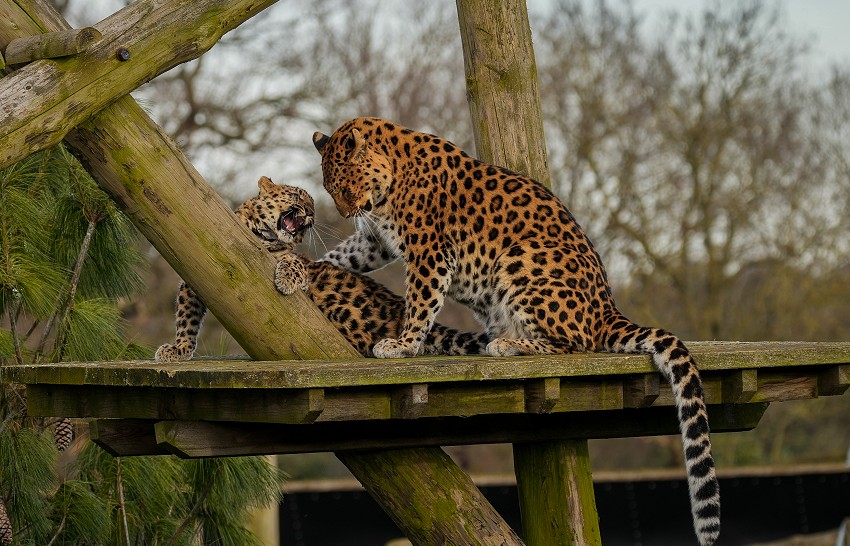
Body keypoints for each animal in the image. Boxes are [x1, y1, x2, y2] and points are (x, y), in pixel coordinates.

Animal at [155, 176, 490, 361]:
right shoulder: (191, 283)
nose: (310, 214)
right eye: (296, 196)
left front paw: (287, 279)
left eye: (313, 209)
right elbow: (186, 319)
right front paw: (177, 350)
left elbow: (294, 261)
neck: (259, 236)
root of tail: (398, 308)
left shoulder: (299, 260)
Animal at [312, 117, 720, 546]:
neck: (391, 179)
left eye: (345, 186)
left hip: (521, 258)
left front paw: (403, 345)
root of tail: (607, 309)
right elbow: (343, 255)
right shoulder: (373, 241)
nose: (345, 212)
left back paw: (508, 344)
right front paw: (308, 268)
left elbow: (421, 300)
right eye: (330, 189)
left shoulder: (430, 252)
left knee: (576, 345)